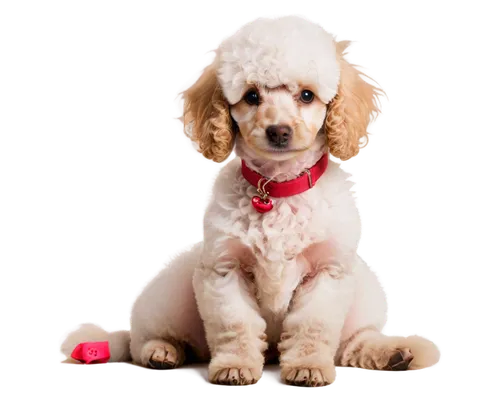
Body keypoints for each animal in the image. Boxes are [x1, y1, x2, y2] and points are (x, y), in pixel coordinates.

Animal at [59, 14, 442, 390]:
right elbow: (236, 324)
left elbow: (312, 326)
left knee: (354, 343)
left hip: (367, 290)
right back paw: (161, 352)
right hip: (173, 291)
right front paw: (235, 367)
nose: (279, 131)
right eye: (251, 96)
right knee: (140, 342)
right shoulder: (224, 270)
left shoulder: (327, 272)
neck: (277, 189)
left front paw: (307, 368)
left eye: (307, 95)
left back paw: (393, 354)